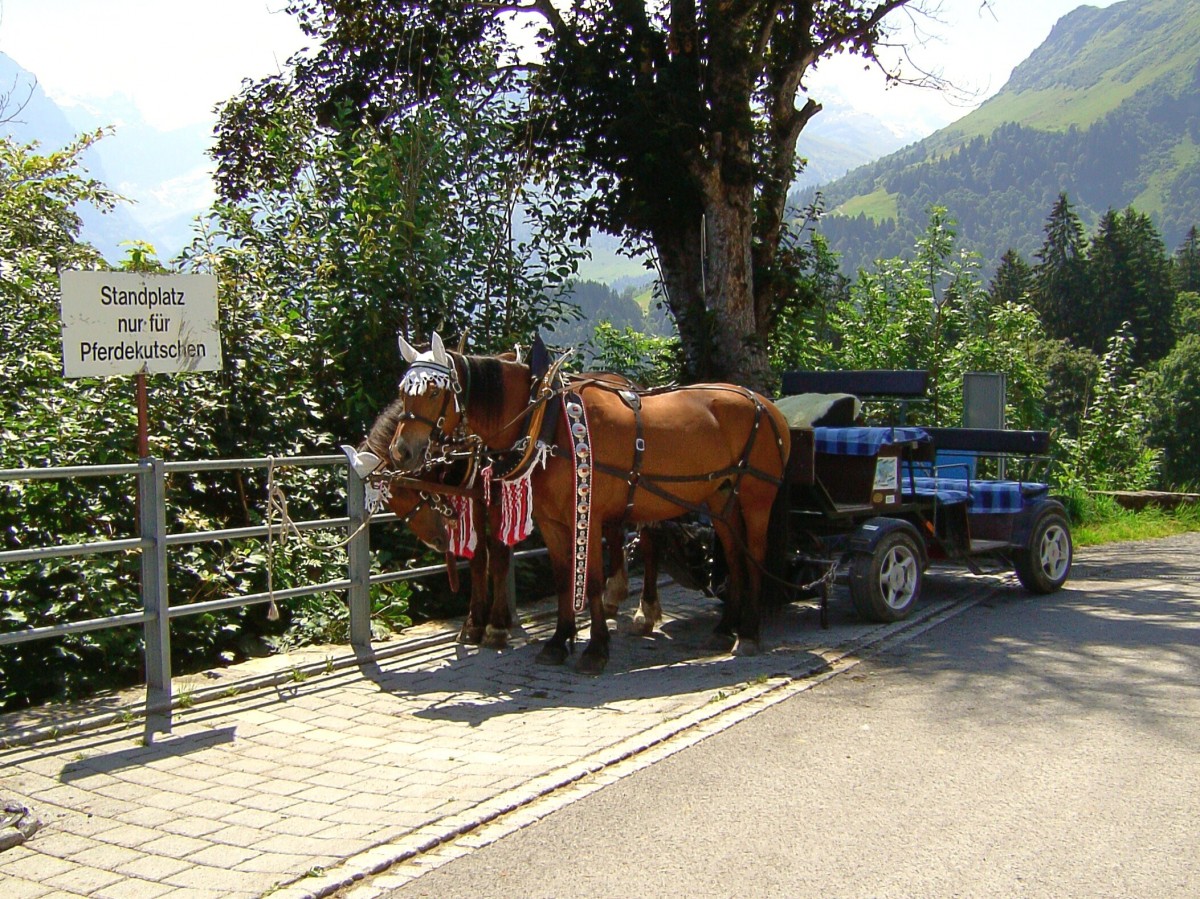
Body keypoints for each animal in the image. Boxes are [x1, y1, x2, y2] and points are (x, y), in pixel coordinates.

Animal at [388, 333, 792, 672]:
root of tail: (766, 405)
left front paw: (596, 648)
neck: (547, 422)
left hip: (756, 497)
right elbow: (564, 578)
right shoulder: (551, 521)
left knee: (753, 557)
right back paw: (725, 628)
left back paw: (749, 633)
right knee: (734, 558)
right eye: (403, 392)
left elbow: (593, 581)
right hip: (721, 499)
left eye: (433, 393)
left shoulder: (589, 514)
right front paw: (557, 641)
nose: (402, 451)